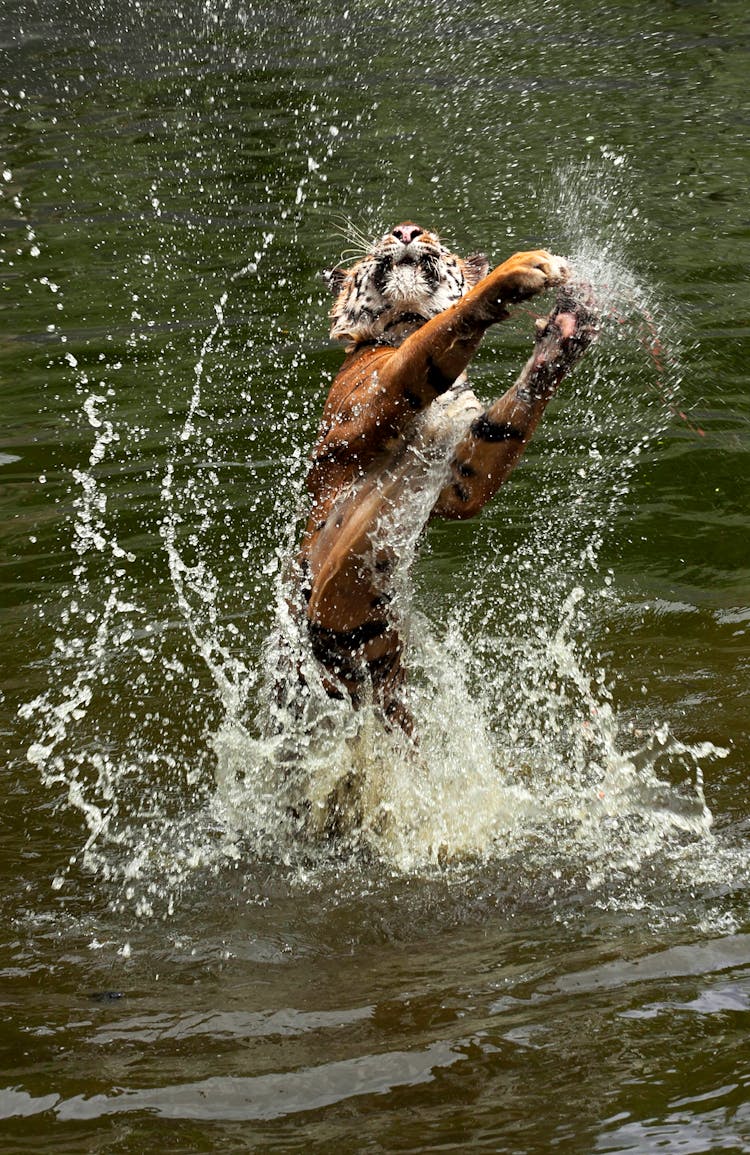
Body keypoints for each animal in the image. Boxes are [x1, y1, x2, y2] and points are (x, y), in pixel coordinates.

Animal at [295, 220, 591, 734]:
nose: (406, 230)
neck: (404, 321)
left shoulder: (459, 478)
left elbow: (504, 426)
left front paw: (564, 332)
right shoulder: (374, 397)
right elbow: (440, 332)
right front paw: (523, 267)